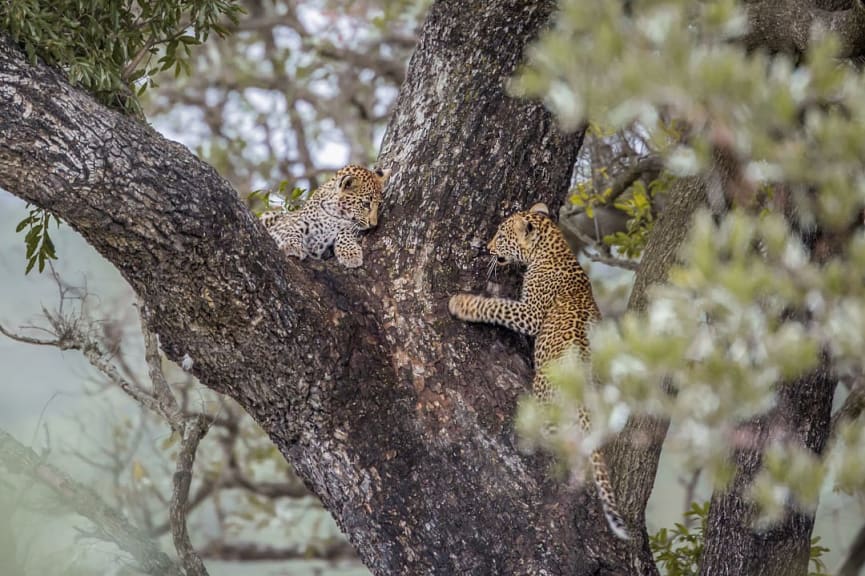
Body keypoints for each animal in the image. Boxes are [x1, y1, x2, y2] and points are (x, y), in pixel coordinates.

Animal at [258, 164, 390, 268]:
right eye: (366, 204)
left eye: (379, 205)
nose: (373, 224)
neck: (335, 213)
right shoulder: (291, 224)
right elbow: (291, 231)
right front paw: (292, 246)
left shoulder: (348, 227)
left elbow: (345, 233)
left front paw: (350, 253)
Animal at [446, 201, 628, 540]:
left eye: (501, 235)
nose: (488, 246)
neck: (554, 249)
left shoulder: (530, 313)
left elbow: (496, 306)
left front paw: (461, 303)